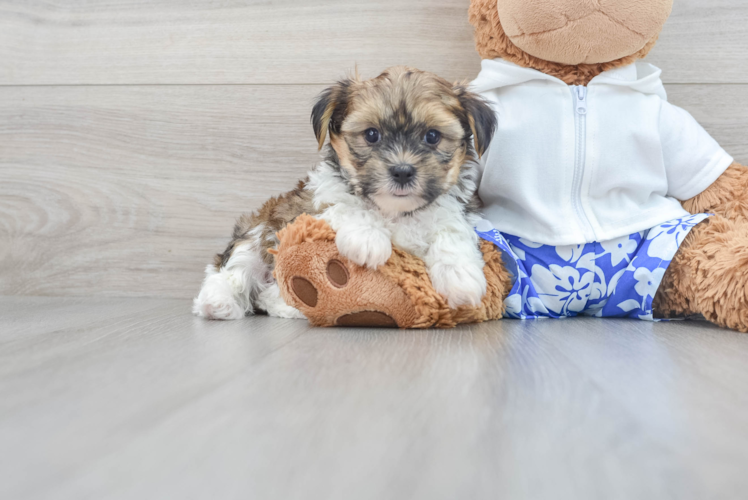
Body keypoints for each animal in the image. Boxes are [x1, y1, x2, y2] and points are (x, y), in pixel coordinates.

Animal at [193, 66, 496, 320]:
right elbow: (345, 204)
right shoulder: (312, 208)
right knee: (232, 270)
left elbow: (450, 230)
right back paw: (219, 302)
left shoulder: (455, 210)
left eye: (432, 136)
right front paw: (368, 238)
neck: (395, 211)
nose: (402, 171)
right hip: (258, 232)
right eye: (372, 135)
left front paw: (460, 276)